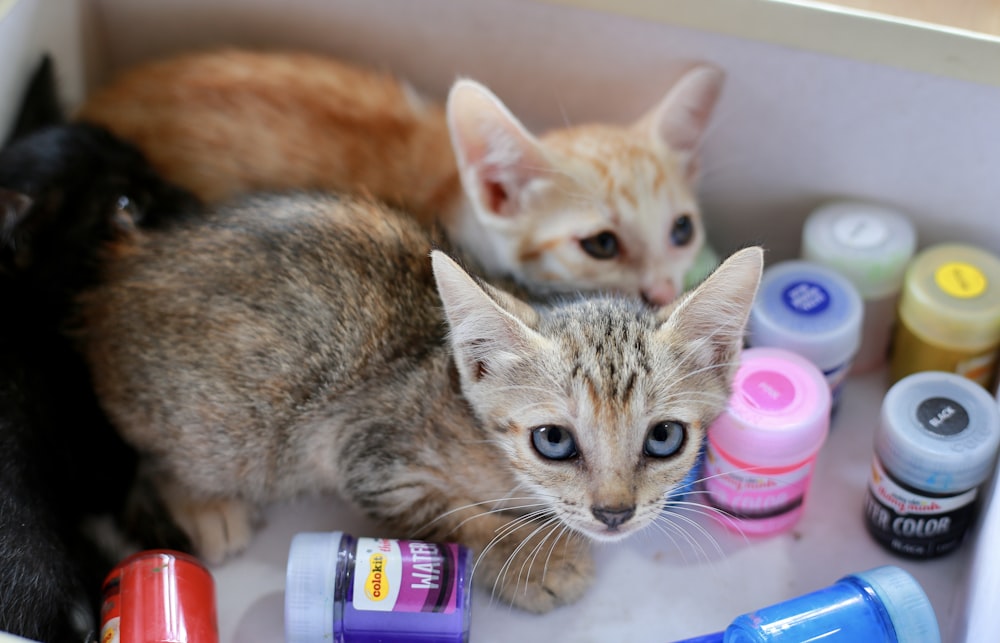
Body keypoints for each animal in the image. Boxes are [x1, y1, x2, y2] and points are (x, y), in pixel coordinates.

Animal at [78, 187, 760, 612]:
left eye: (664, 437)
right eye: (554, 440)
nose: (615, 513)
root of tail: (123, 268)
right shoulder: (363, 451)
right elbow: (455, 516)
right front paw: (529, 560)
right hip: (225, 430)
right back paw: (207, 508)